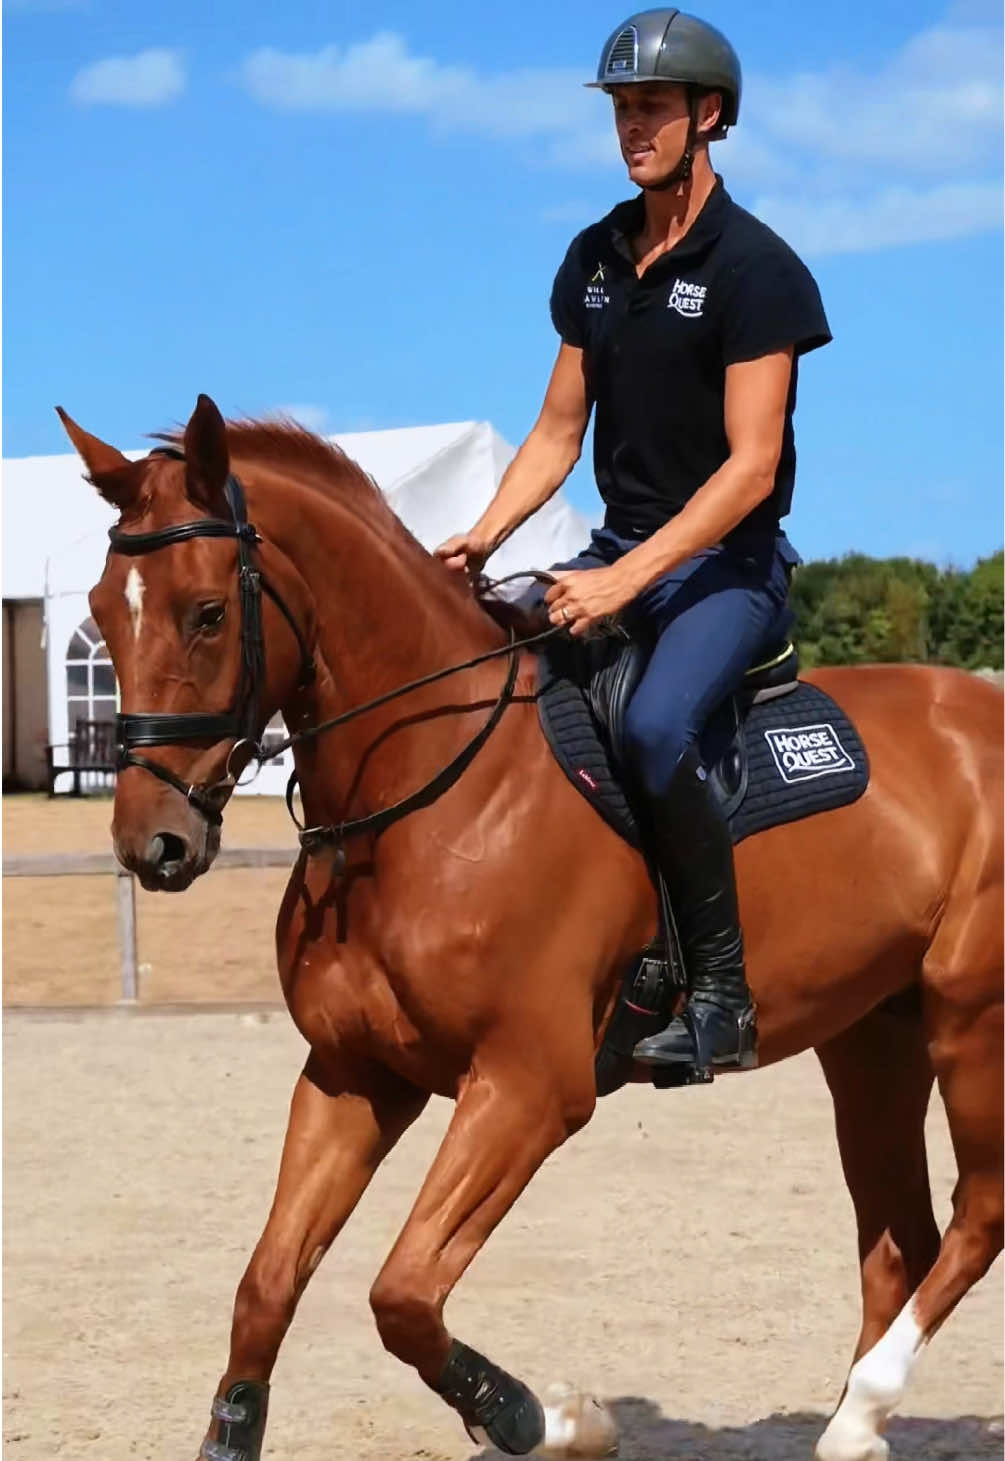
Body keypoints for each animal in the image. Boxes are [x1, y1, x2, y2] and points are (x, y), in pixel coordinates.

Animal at [58, 394, 1002, 1461]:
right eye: (100, 611)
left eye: (209, 613)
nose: (154, 843)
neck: (426, 795)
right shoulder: (353, 1074)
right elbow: (267, 1283)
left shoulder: (528, 1087)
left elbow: (403, 1293)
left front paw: (543, 1416)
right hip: (871, 1040)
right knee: (899, 1237)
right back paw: (857, 1419)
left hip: (972, 1022)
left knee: (978, 1212)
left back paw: (863, 1409)